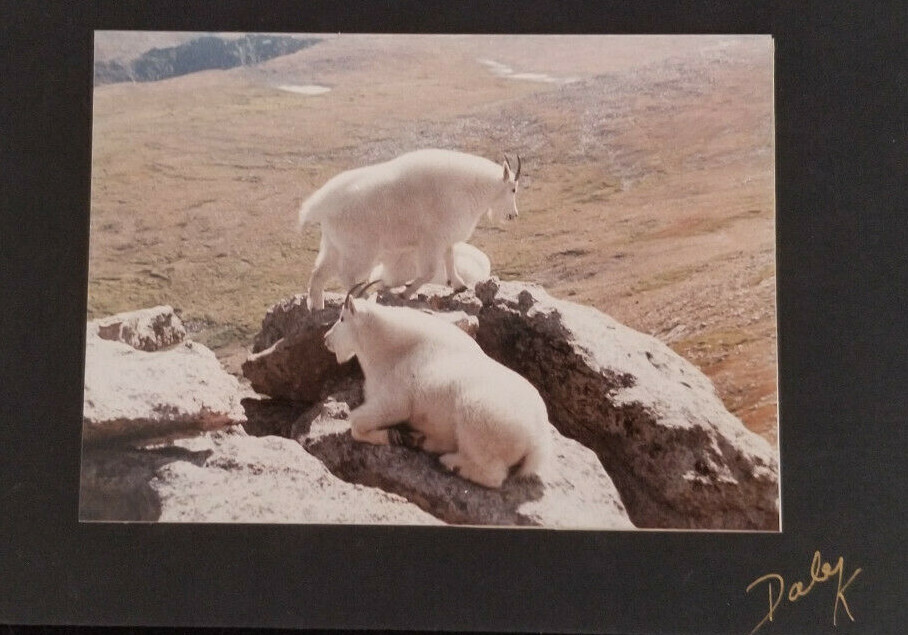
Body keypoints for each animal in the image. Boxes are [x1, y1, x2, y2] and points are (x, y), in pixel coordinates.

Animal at [299, 149, 521, 310]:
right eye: (513, 189)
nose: (513, 215)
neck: (471, 188)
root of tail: (320, 205)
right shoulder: (430, 241)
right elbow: (429, 272)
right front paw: (404, 292)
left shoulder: (444, 238)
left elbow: (450, 259)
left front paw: (459, 285)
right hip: (360, 250)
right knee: (346, 275)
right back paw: (364, 296)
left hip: (334, 245)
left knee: (319, 273)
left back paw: (317, 307)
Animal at [323, 281, 549, 489]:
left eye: (342, 318)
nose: (326, 339)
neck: (392, 353)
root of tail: (536, 441)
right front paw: (401, 436)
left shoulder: (394, 404)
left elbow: (355, 424)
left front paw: (391, 436)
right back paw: (419, 439)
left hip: (477, 419)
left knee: (493, 475)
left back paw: (450, 463)